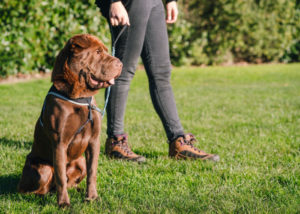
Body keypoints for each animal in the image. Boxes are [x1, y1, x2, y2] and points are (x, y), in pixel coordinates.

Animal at [17, 34, 122, 206]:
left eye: (105, 50)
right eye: (98, 52)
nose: (120, 63)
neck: (79, 97)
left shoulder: (94, 141)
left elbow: (92, 172)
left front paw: (92, 197)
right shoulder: (60, 143)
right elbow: (60, 178)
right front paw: (64, 204)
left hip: (79, 161)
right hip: (42, 169)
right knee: (31, 189)